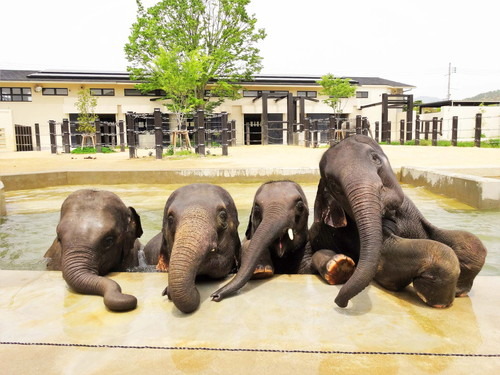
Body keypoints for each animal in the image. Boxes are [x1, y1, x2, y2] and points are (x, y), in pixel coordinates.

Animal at [310, 135, 486, 308]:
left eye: (375, 159)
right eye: (333, 184)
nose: (340, 302)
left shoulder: (409, 211)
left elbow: (471, 242)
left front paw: (459, 292)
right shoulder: (350, 233)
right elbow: (388, 258)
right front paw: (436, 300)